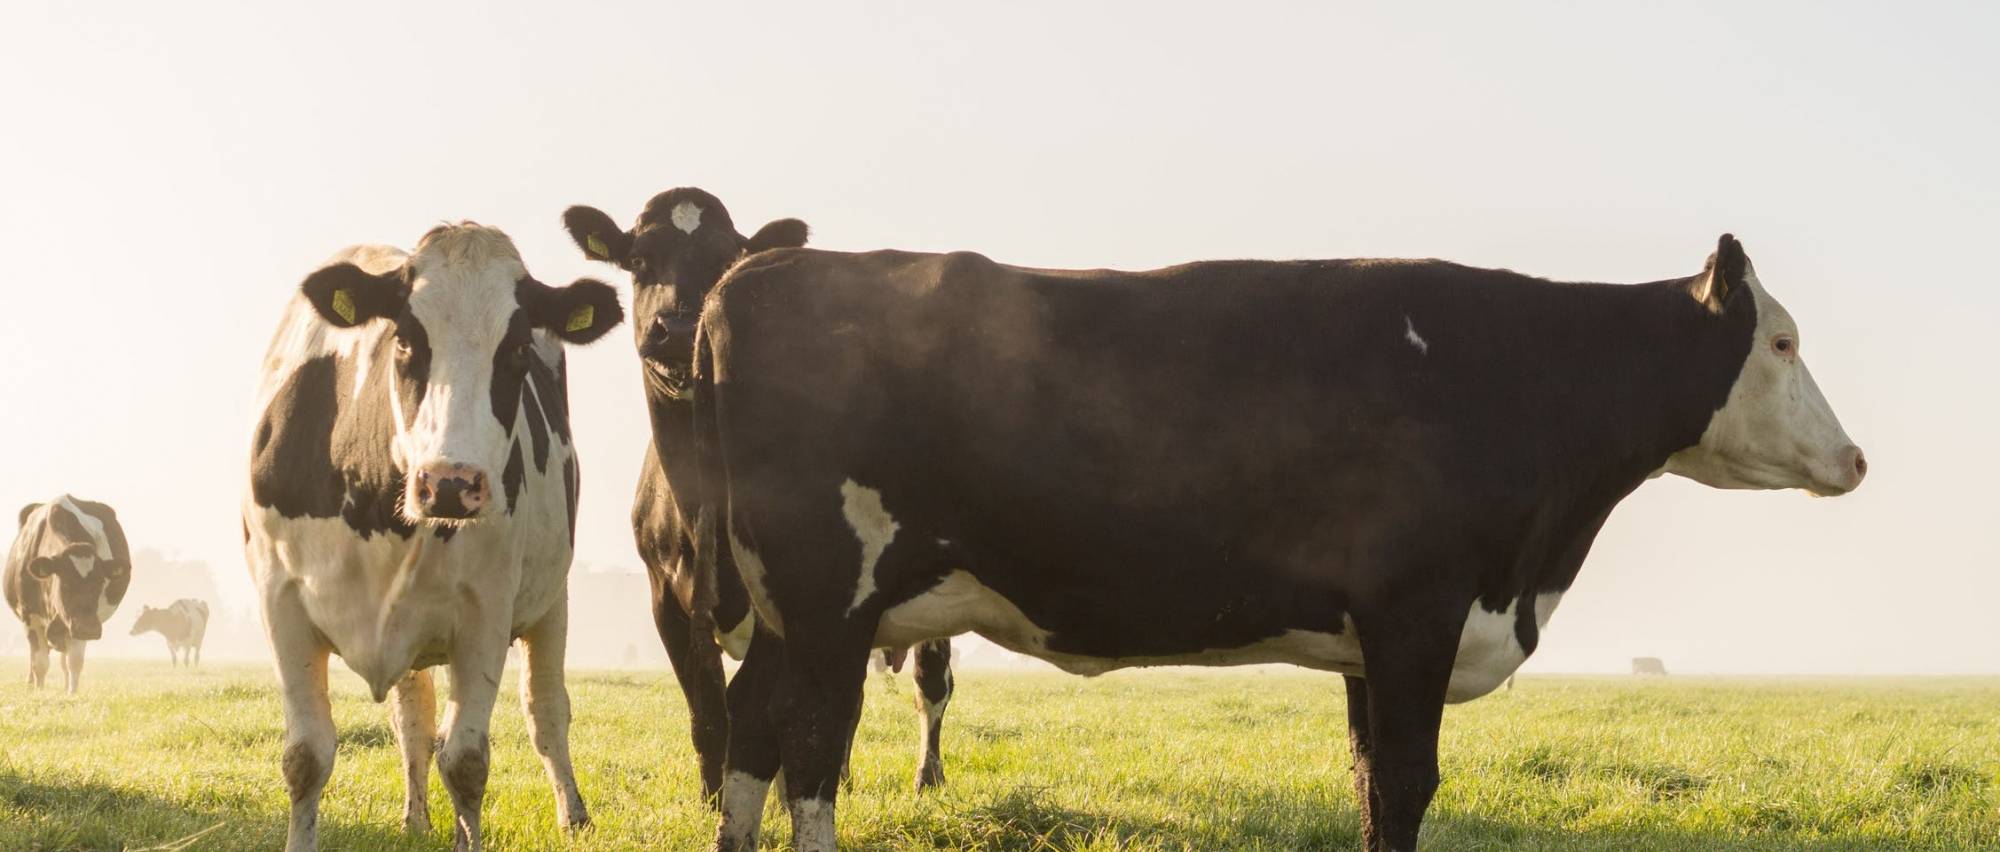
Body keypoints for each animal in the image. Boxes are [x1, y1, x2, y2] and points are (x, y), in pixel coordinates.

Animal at [5, 500, 133, 692]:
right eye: (65, 584)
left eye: (100, 583)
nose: (89, 629)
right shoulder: (30, 618)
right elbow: (40, 663)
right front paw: (39, 692)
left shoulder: (78, 624)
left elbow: (74, 662)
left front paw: (72, 694)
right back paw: (30, 682)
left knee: (64, 661)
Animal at [243, 221, 620, 852]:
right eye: (403, 340)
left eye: (517, 349)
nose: (451, 482)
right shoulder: (281, 602)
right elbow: (306, 757)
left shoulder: (485, 615)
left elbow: (466, 761)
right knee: (414, 719)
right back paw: (414, 819)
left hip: (552, 601)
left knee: (545, 709)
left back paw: (575, 815)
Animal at [564, 186, 960, 800]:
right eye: (638, 261)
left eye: (726, 261)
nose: (681, 329)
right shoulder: (665, 599)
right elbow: (709, 714)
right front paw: (714, 800)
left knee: (930, 682)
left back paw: (926, 776)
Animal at [692, 235, 1872, 852]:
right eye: (1780, 341)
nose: (1856, 459)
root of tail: (754, 274)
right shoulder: (1416, 613)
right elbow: (1404, 783)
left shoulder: (1370, 639)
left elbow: (1366, 778)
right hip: (829, 599)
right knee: (810, 748)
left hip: (787, 611)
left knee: (751, 727)